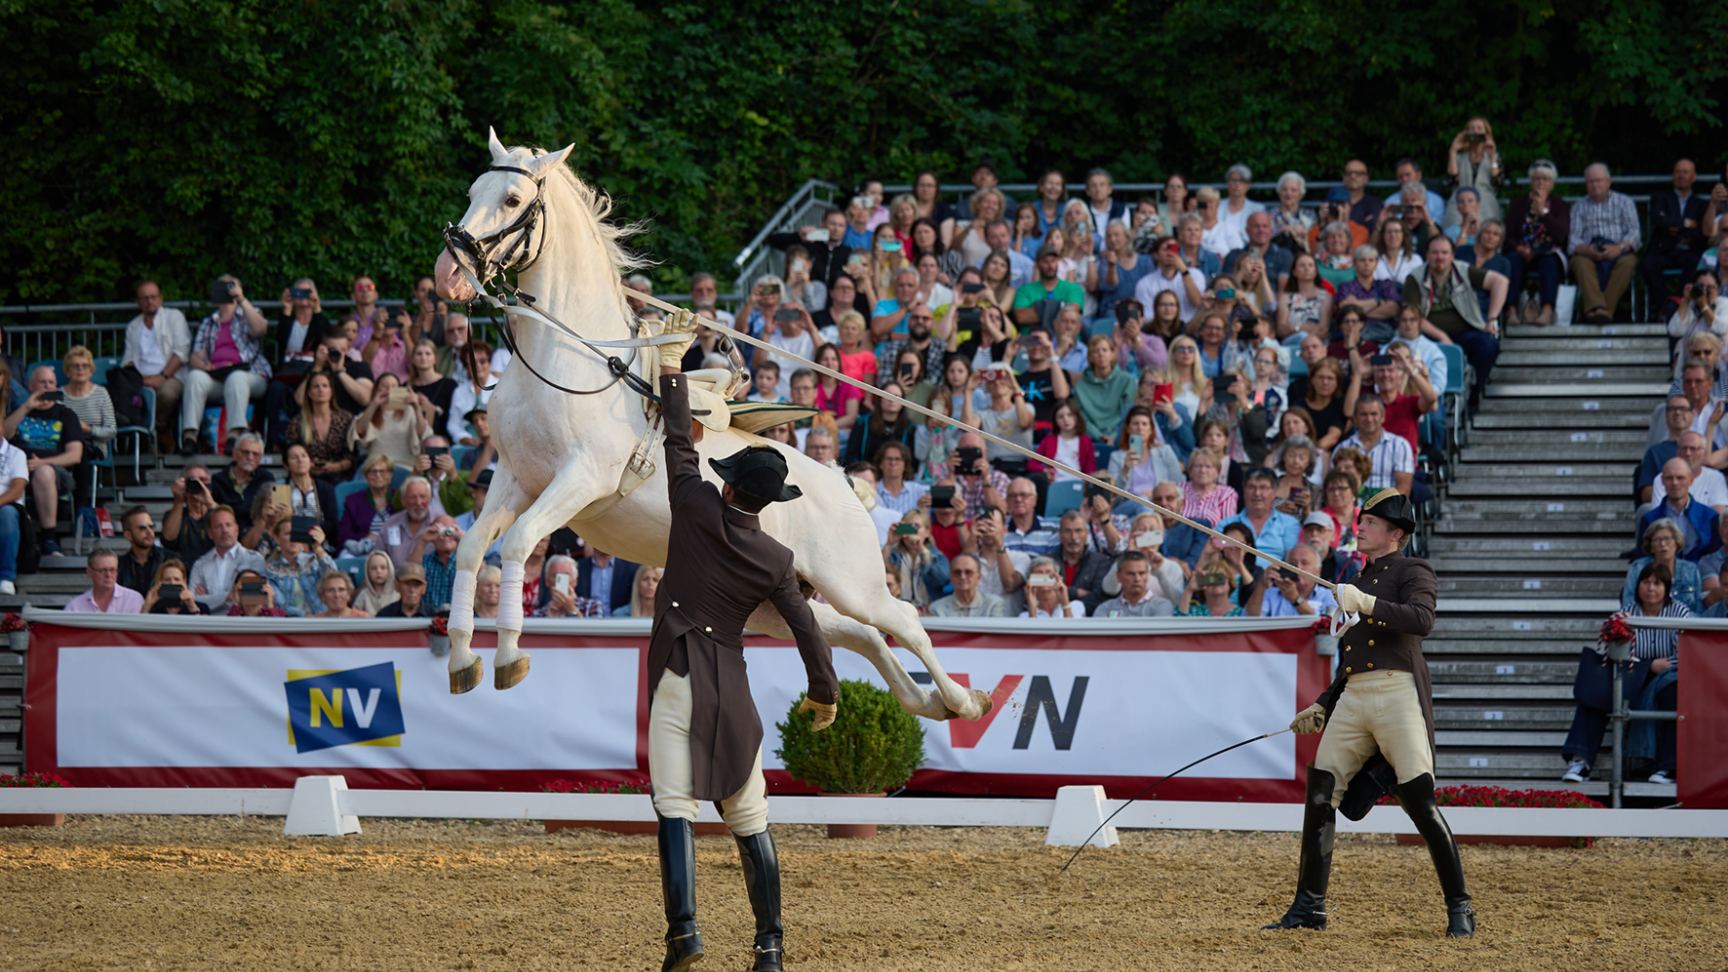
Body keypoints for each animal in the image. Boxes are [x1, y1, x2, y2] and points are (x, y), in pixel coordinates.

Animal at [428, 127, 988, 719]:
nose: (448, 275)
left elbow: (515, 543)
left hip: (853, 582)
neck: (568, 359)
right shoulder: (516, 479)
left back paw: (963, 701)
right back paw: (922, 702)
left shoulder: (579, 480)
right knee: (859, 635)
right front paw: (462, 660)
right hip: (778, 603)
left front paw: (511, 657)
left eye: (513, 200)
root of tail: (844, 484)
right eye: (472, 192)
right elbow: (471, 549)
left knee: (904, 621)